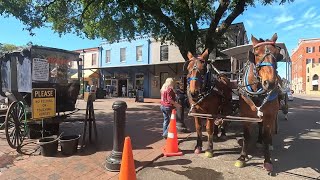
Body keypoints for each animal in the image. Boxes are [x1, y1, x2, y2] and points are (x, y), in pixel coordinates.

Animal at [235, 33, 282, 172]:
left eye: (277, 54)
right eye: (256, 54)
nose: (270, 83)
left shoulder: (269, 115)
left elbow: (266, 136)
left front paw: (267, 160)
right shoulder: (245, 115)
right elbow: (246, 136)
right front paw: (242, 157)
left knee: (268, 131)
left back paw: (268, 143)